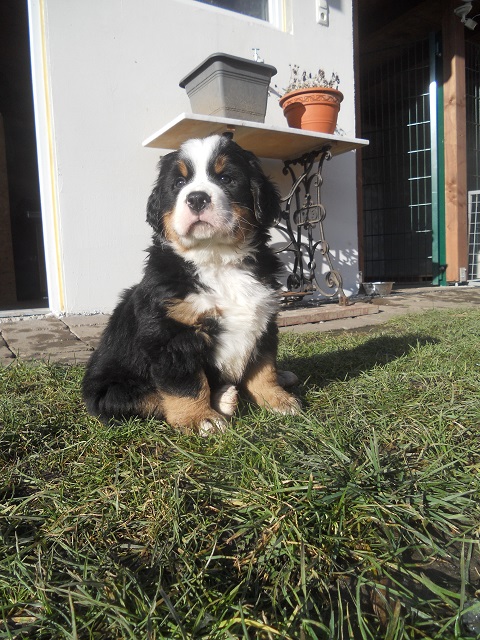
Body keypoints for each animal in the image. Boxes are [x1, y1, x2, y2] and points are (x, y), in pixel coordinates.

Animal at [82, 134, 300, 435]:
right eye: (179, 184)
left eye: (226, 178)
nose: (197, 198)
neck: (217, 260)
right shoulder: (172, 333)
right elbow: (186, 384)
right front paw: (200, 419)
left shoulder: (264, 320)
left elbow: (263, 367)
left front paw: (278, 399)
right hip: (113, 390)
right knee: (148, 399)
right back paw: (223, 399)